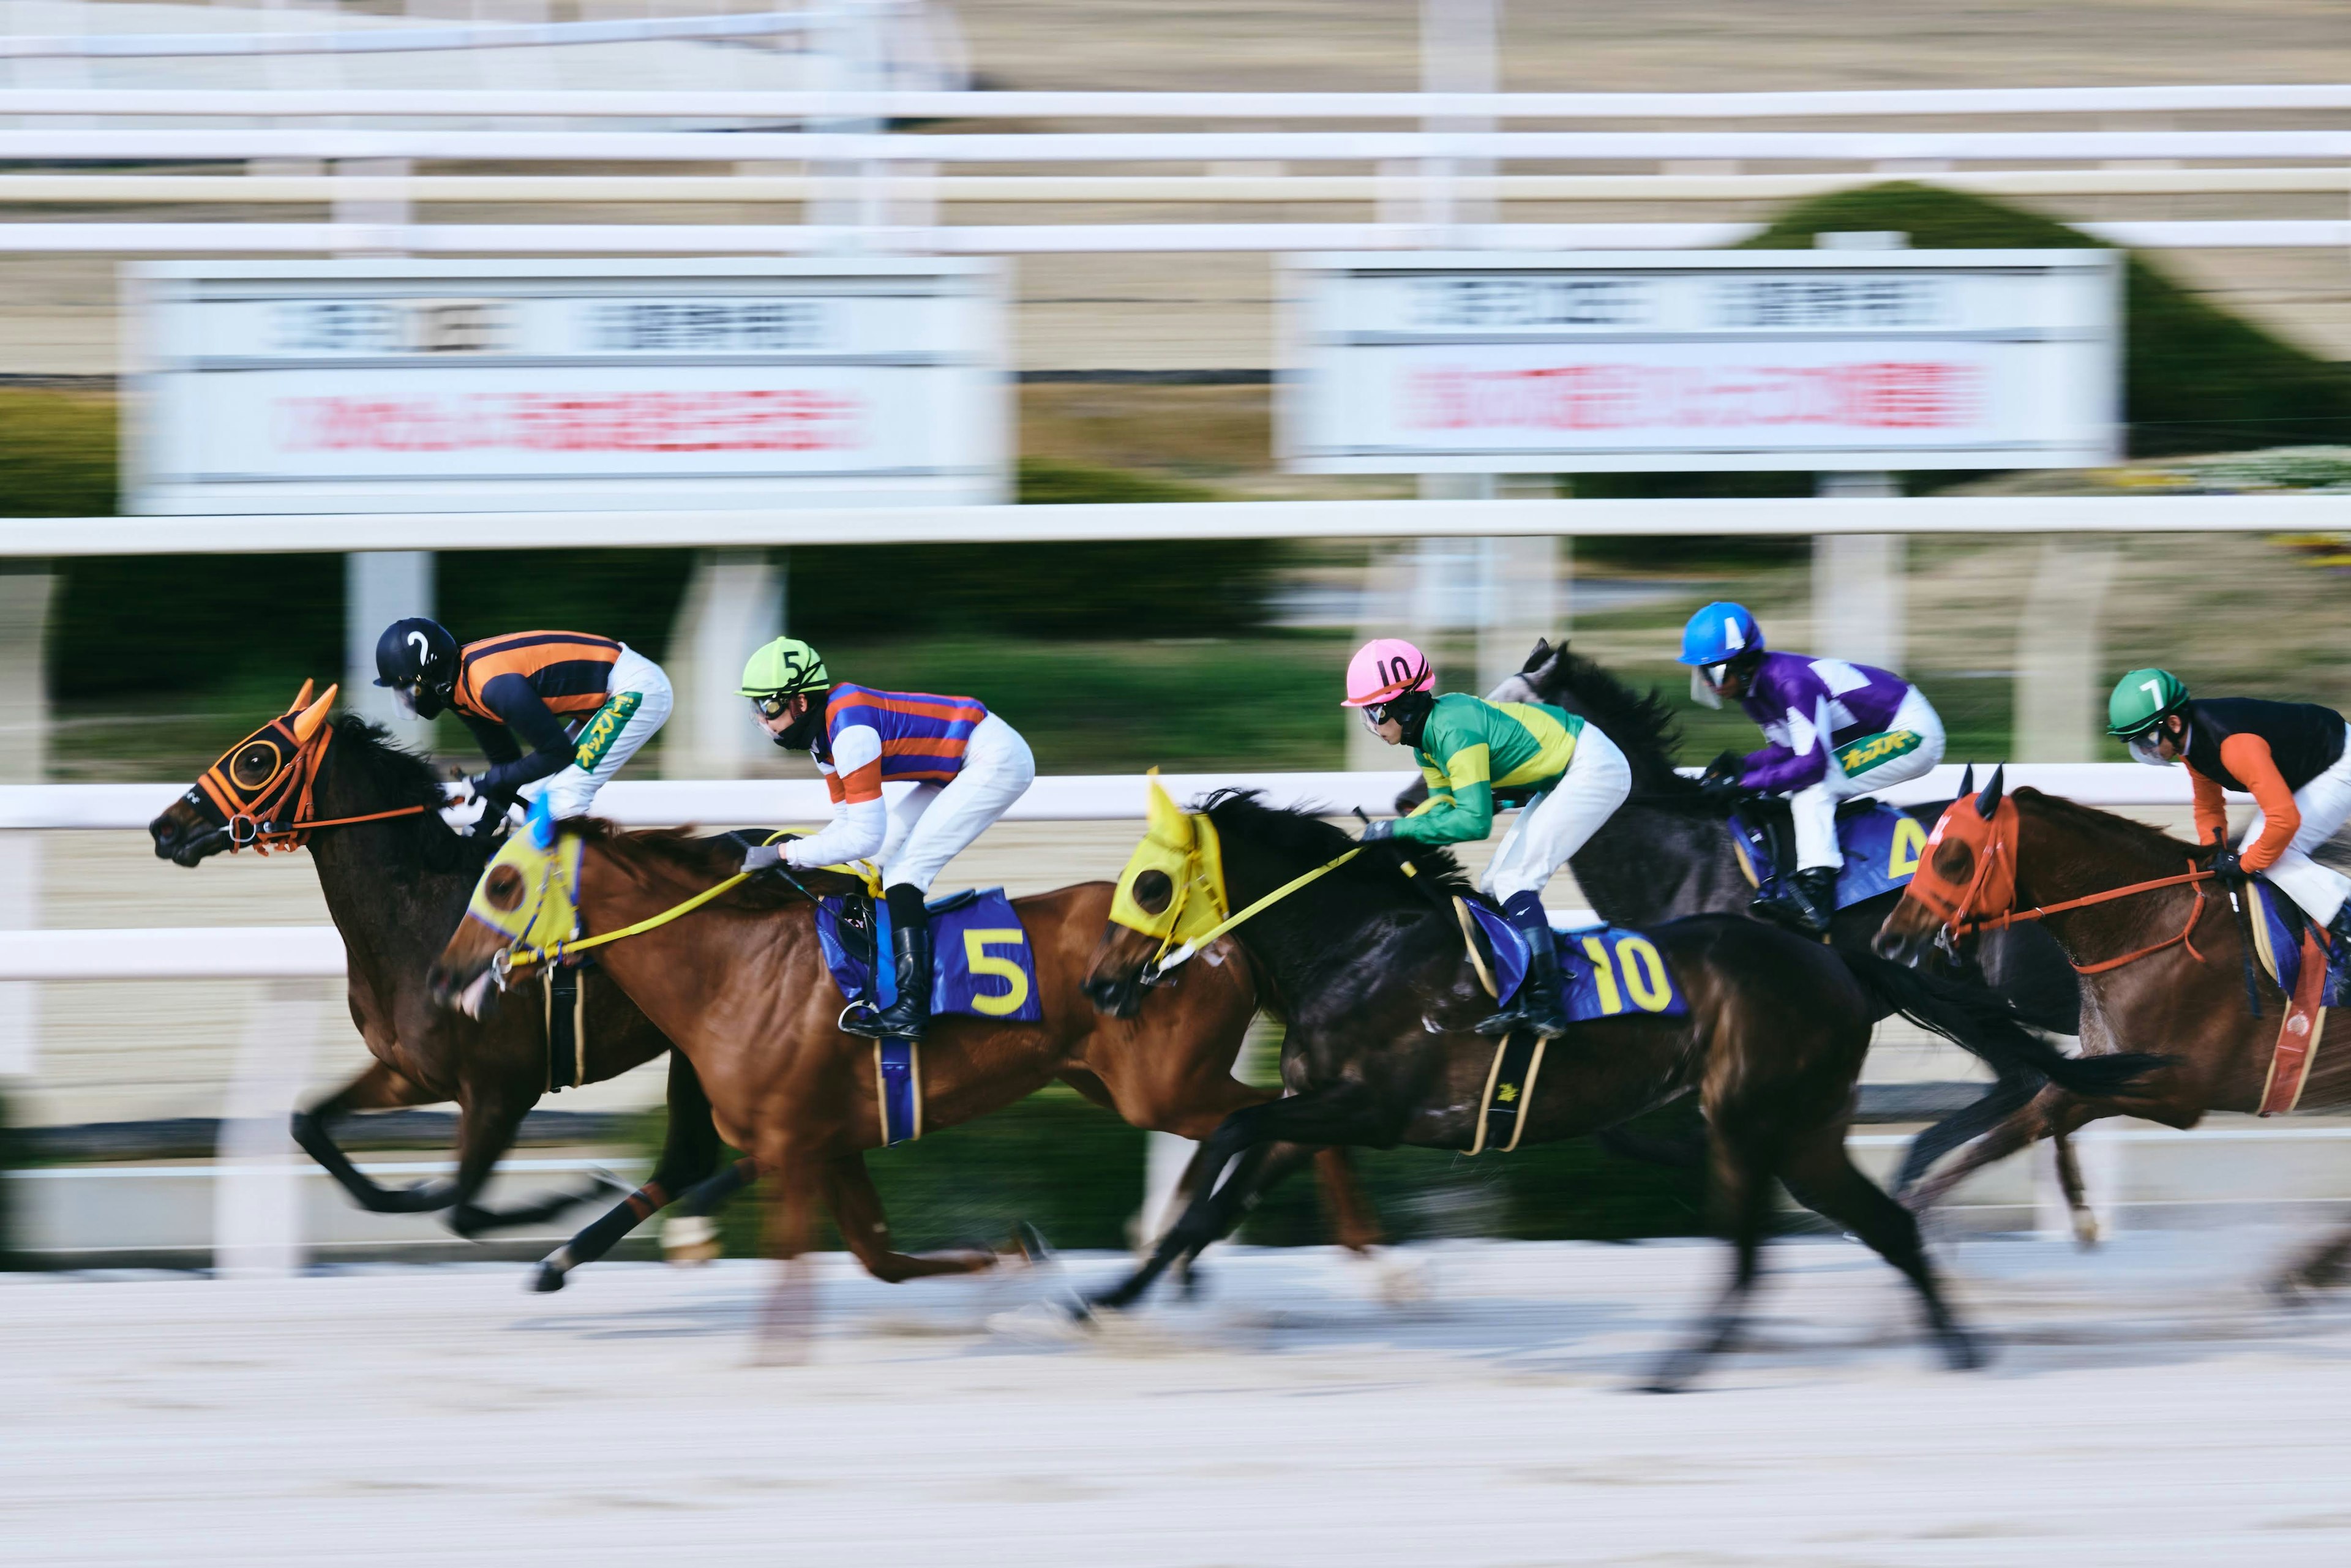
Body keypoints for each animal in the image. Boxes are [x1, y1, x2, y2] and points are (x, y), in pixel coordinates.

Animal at [149, 691, 733, 1288]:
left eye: (256, 760)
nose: (164, 827)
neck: (422, 922)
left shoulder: (503, 1091)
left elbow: (460, 1207)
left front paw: (573, 1192)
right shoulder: (411, 1072)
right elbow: (312, 1128)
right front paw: (411, 1190)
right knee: (690, 1161)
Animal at [421, 822, 1373, 1326]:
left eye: (502, 883)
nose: (440, 974)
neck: (734, 967)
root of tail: (1216, 935)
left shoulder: (797, 1140)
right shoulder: (836, 1143)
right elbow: (880, 1258)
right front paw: (1013, 1250)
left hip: (1163, 1084)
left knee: (1283, 1116)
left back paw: (1366, 1263)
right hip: (1119, 1084)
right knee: (1262, 1123)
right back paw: (1192, 1253)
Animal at [1076, 790, 2153, 1392]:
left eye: (1151, 887)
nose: (1099, 985)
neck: (1362, 946)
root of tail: (1839, 960)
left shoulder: (1368, 1106)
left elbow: (1231, 1137)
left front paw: (1166, 1277)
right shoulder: (1318, 1108)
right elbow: (1226, 1186)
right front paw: (1114, 1295)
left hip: (1756, 1114)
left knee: (1759, 1243)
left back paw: (1678, 1367)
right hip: (1801, 1129)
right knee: (1880, 1225)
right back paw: (1959, 1352)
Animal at [1871, 766, 2351, 1297]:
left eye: (1954, 857)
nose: (1890, 939)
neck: (2148, 925)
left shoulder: (2178, 1090)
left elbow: (2043, 1107)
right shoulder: (2112, 1066)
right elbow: (2032, 1118)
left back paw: (2310, 1267)